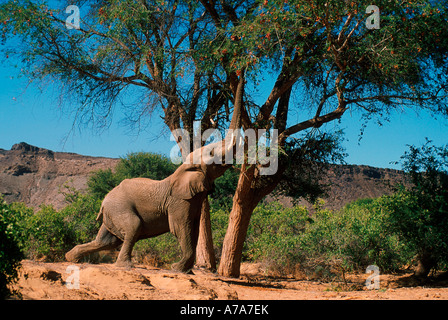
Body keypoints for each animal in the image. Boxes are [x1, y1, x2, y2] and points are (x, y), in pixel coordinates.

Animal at [65, 137, 238, 272]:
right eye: (212, 153)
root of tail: (104, 201)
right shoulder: (179, 202)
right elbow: (181, 228)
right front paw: (177, 268)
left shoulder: (193, 200)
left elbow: (193, 229)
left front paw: (186, 271)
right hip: (119, 208)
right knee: (132, 227)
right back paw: (126, 266)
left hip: (112, 212)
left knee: (107, 241)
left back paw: (71, 258)